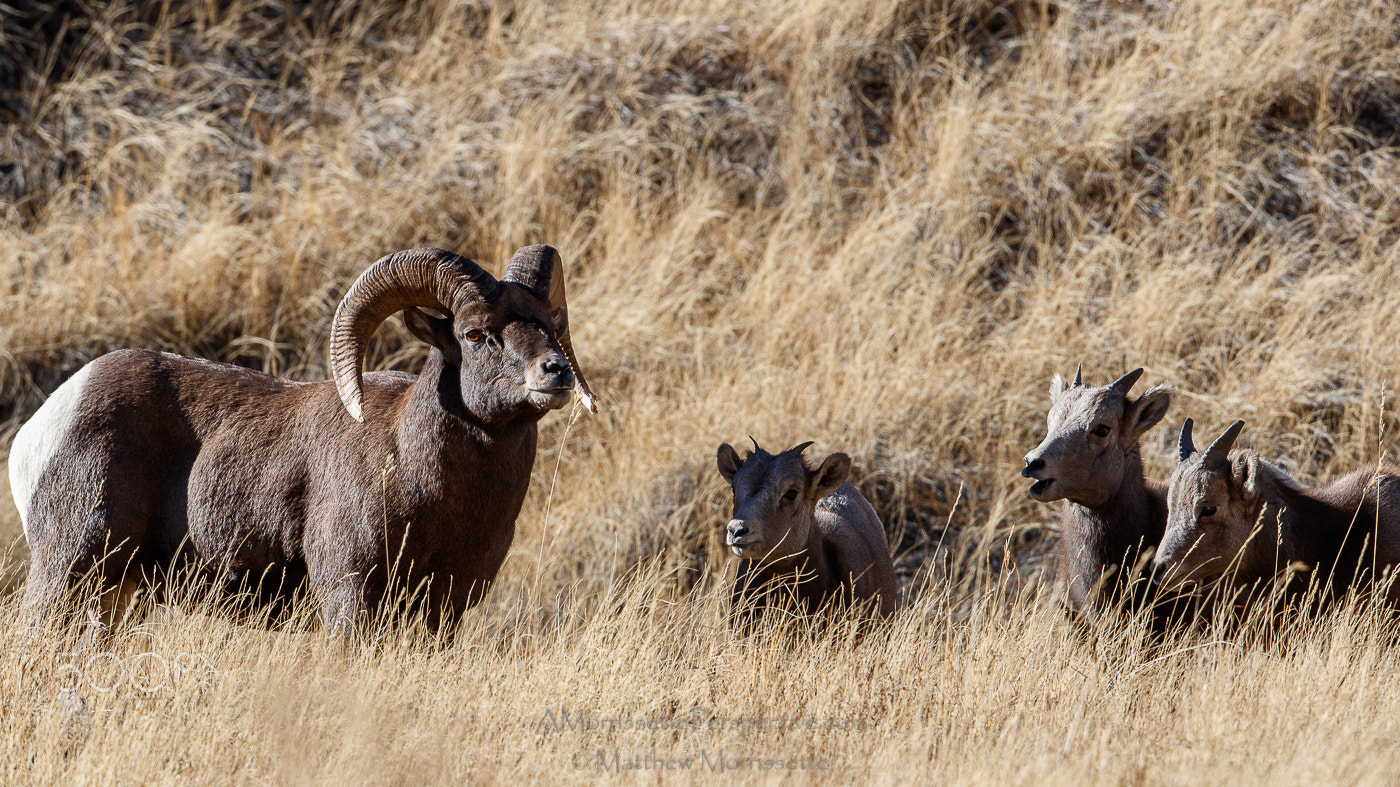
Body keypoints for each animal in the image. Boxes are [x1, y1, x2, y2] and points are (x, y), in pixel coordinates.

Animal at [8, 245, 596, 630]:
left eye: (550, 324)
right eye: (475, 334)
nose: (556, 372)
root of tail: (40, 429)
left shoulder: (441, 612)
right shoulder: (348, 595)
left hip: (115, 594)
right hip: (66, 571)